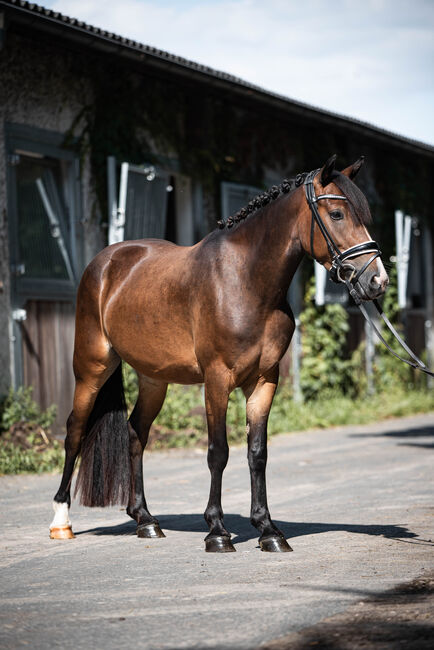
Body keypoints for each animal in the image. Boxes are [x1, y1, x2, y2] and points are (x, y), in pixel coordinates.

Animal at [49, 154, 388, 548]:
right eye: (336, 214)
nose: (377, 280)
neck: (245, 281)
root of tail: (104, 263)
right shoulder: (216, 380)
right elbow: (218, 452)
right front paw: (217, 531)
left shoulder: (263, 381)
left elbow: (257, 453)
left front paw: (268, 530)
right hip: (92, 367)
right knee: (75, 430)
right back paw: (61, 521)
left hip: (153, 379)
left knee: (136, 432)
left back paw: (146, 519)